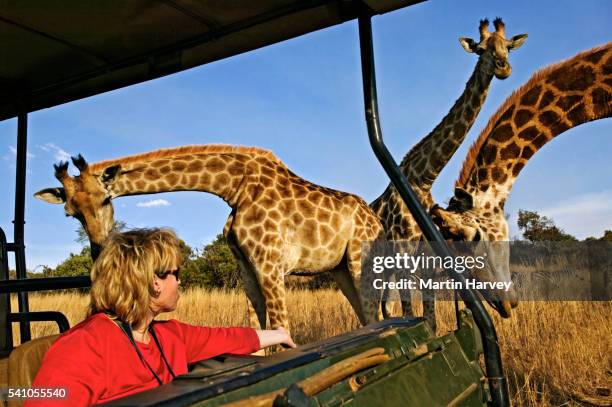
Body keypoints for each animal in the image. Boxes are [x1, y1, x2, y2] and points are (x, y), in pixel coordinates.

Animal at [34, 147, 382, 334]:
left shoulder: (269, 264)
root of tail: (375, 219)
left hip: (359, 260)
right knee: (367, 315)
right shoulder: (247, 267)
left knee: (378, 312)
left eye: (106, 200)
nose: (98, 248)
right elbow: (258, 332)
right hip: (339, 269)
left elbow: (280, 330)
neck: (235, 188)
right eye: (71, 214)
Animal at [368, 18, 524, 326]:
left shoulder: (427, 257)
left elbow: (429, 315)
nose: (503, 68)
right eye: (480, 49)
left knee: (385, 307)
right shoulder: (403, 254)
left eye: (508, 46)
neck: (421, 178)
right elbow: (412, 311)